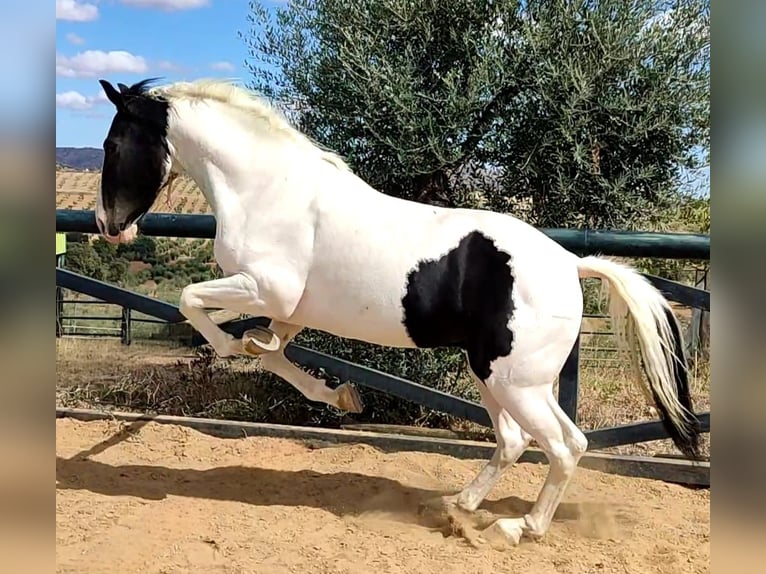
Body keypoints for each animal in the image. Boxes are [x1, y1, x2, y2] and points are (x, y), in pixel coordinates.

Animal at [93, 79, 700, 548]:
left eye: (113, 142)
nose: (108, 226)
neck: (268, 191)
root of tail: (573, 264)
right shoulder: (288, 310)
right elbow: (271, 349)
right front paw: (340, 394)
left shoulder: (267, 290)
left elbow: (192, 302)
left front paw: (239, 349)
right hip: (498, 377)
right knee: (513, 441)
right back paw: (458, 507)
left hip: (517, 382)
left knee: (566, 446)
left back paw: (515, 528)